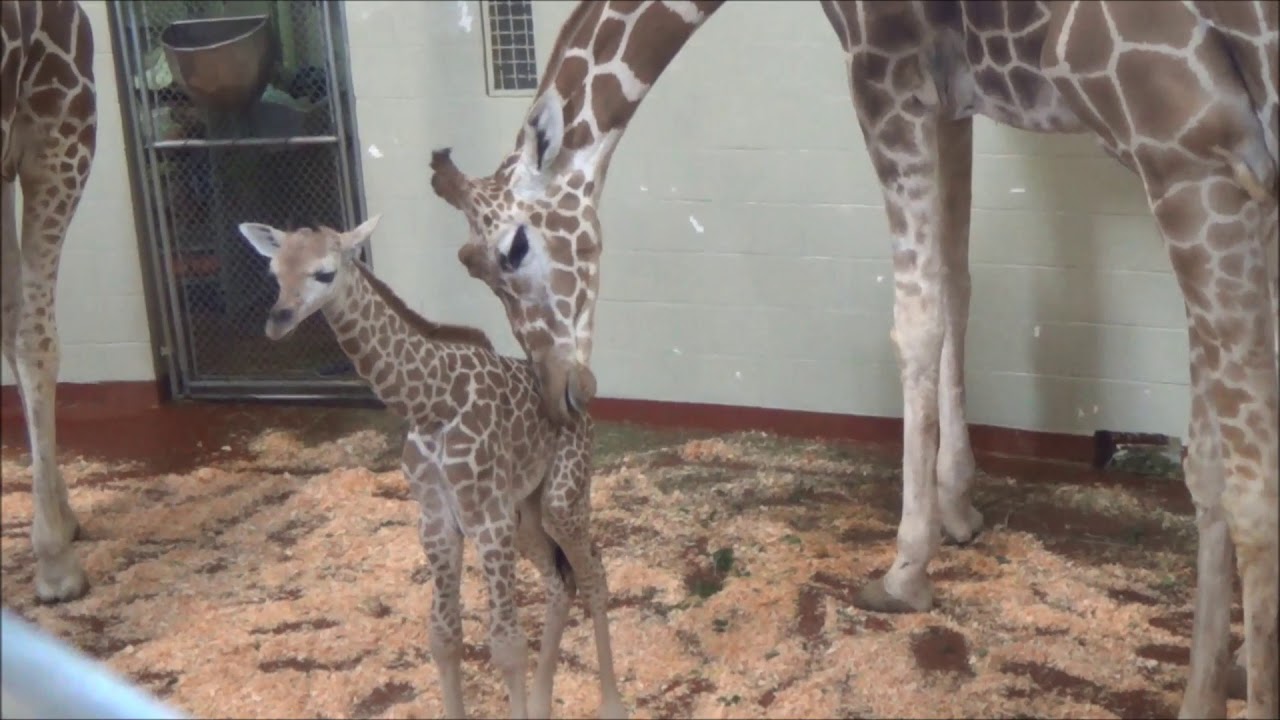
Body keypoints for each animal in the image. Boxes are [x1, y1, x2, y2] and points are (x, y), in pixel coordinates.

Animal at [235, 217, 627, 719]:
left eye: (324, 272)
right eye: (274, 272)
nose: (277, 321)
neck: (431, 404)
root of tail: (580, 404)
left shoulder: (487, 520)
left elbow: (507, 645)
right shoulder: (438, 520)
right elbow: (444, 639)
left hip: (562, 497)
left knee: (595, 576)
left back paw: (612, 705)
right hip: (527, 512)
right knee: (561, 584)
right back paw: (542, 704)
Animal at [430, 1, 1278, 716]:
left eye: (511, 252)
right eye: (472, 268)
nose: (561, 393)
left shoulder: (886, 72)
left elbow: (919, 315)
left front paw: (905, 570)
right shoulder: (954, 96)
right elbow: (958, 278)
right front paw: (959, 507)